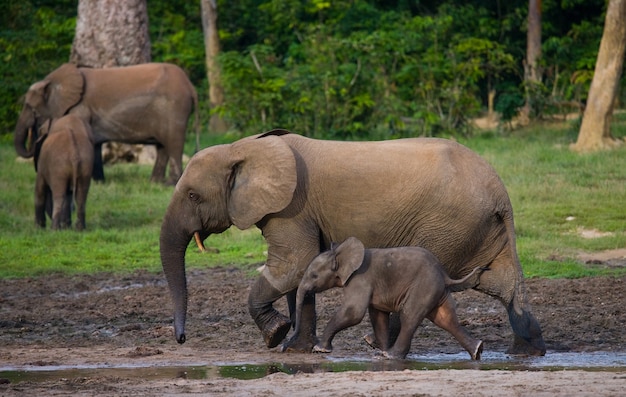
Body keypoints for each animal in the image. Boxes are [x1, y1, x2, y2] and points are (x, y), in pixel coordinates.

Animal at [14, 62, 196, 185]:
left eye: (30, 107)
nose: (34, 131)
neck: (53, 81)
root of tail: (190, 86)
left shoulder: (79, 109)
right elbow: (94, 143)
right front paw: (99, 183)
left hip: (174, 109)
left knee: (173, 144)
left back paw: (170, 184)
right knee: (162, 147)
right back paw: (154, 183)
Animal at [292, 237, 482, 360]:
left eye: (314, 275)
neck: (341, 253)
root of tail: (445, 274)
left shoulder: (360, 279)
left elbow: (353, 313)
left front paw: (319, 349)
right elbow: (378, 316)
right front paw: (379, 353)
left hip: (424, 286)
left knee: (409, 316)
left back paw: (393, 356)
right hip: (437, 290)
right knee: (446, 319)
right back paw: (477, 351)